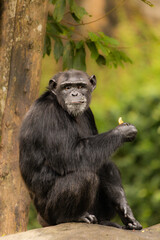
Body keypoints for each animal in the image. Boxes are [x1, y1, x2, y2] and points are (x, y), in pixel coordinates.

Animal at [19, 68, 142, 230]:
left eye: (80, 86)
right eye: (66, 87)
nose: (74, 94)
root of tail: (42, 220)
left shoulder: (89, 114)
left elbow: (100, 161)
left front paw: (125, 209)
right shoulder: (50, 115)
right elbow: (70, 155)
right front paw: (122, 131)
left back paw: (105, 221)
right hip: (48, 215)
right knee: (84, 177)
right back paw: (72, 217)